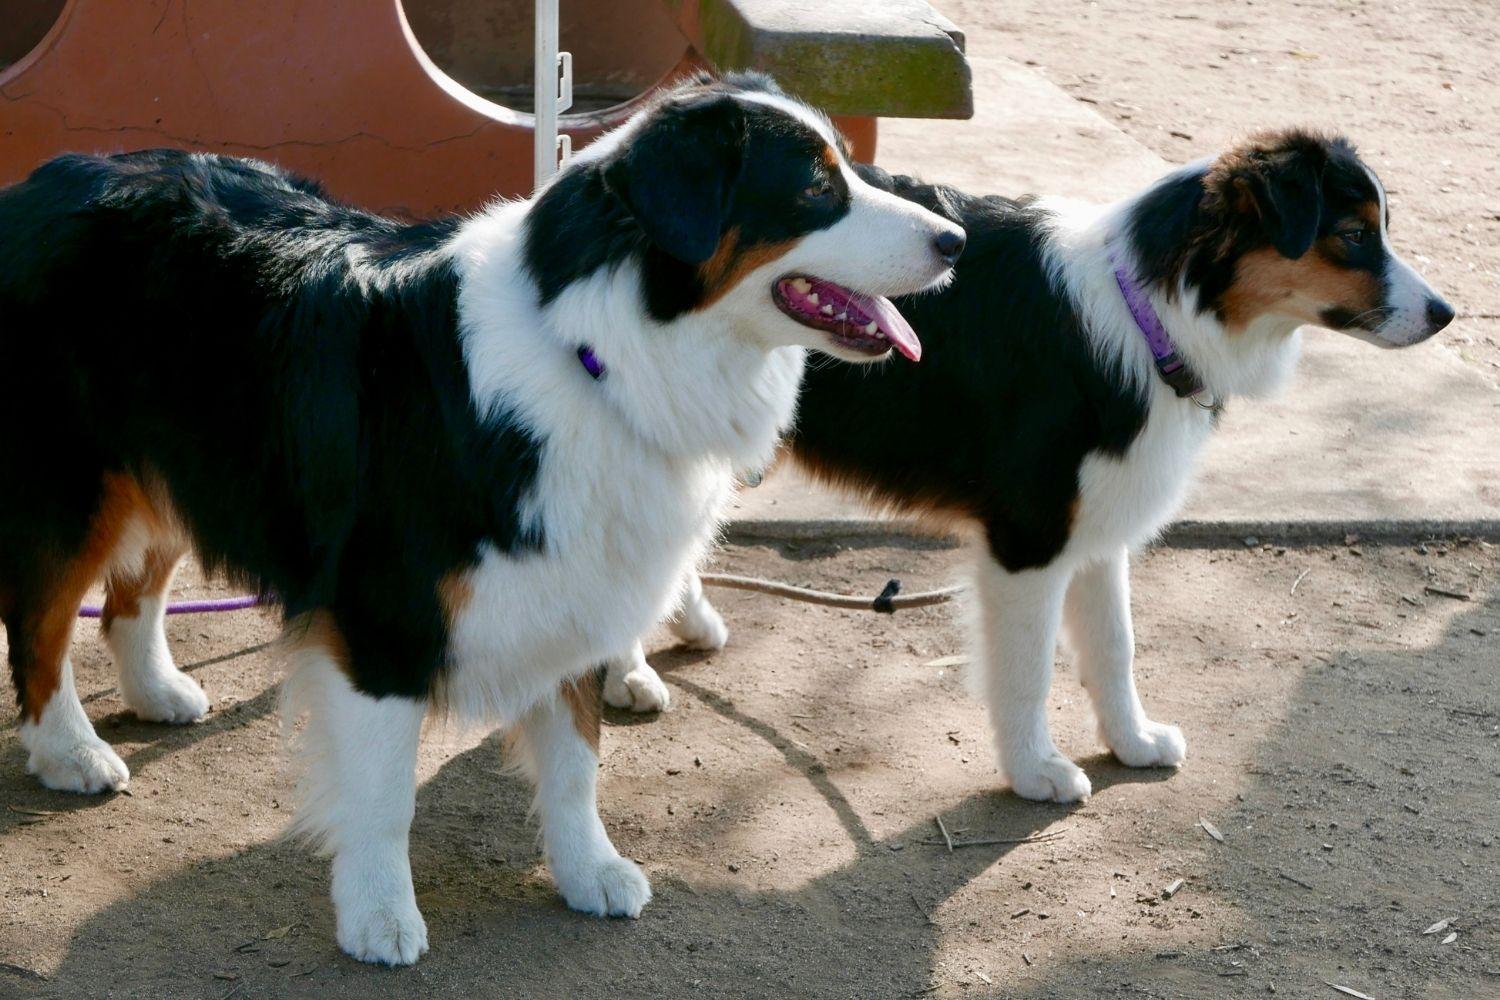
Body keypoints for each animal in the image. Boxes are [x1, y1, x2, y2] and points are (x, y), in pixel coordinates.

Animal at [0, 74, 960, 965]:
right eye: (815, 186)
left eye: (847, 164)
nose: (955, 236)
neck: (597, 352)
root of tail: (43, 179)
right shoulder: (386, 618)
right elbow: (385, 793)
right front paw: (379, 915)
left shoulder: (578, 585)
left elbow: (576, 763)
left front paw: (587, 870)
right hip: (69, 493)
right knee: (41, 628)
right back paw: (69, 752)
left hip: (172, 463)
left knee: (129, 600)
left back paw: (156, 692)